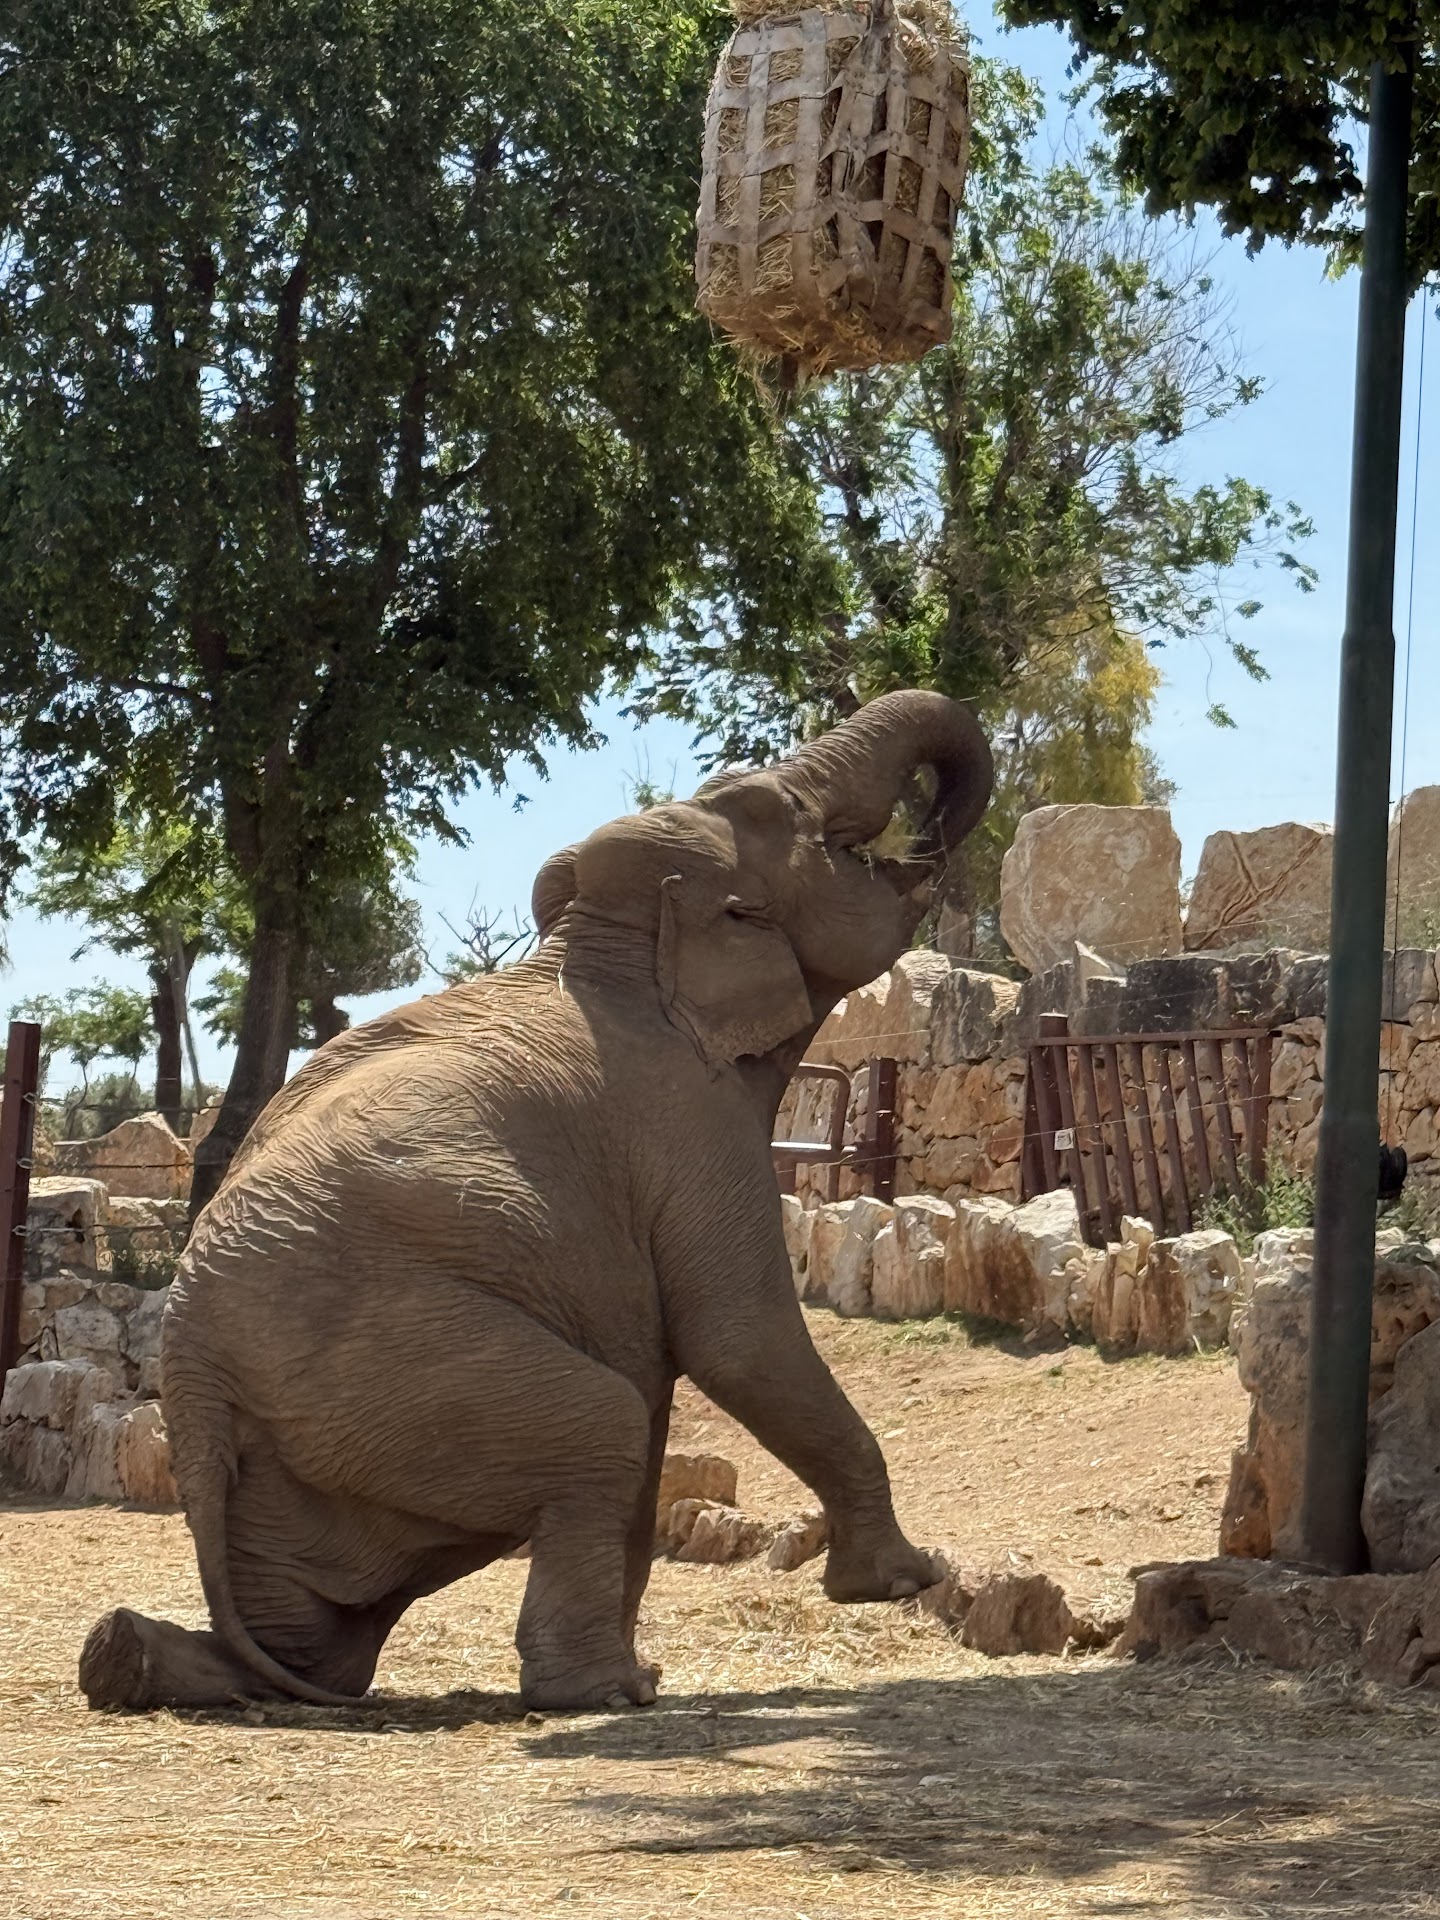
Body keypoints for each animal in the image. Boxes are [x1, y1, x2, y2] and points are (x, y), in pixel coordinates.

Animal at [79, 688, 992, 1716]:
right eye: (795, 819)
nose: (928, 836)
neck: (612, 939)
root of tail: (188, 1371)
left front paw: (648, 1674)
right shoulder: (689, 1122)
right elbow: (736, 1341)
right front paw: (901, 1579)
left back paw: (142, 1659)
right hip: (387, 1367)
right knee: (601, 1425)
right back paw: (589, 1696)